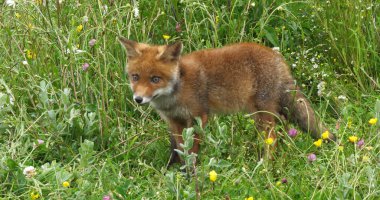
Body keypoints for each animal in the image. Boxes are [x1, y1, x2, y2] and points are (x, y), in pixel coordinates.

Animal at [119, 38, 336, 164]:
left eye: (155, 79)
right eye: (135, 77)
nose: (138, 99)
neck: (177, 89)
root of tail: (277, 57)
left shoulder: (199, 116)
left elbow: (192, 150)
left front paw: (191, 173)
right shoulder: (174, 121)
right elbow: (177, 149)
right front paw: (173, 170)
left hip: (262, 115)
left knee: (272, 140)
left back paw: (265, 166)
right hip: (265, 112)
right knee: (284, 128)